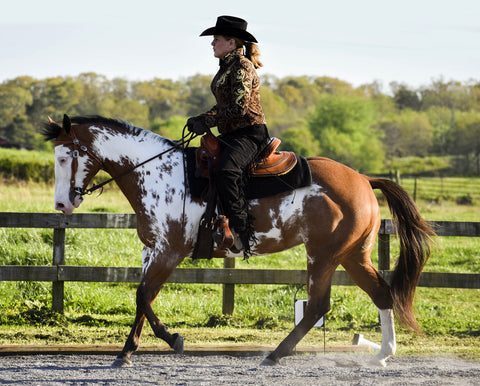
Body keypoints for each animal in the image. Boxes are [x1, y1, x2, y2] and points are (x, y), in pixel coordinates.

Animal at [43, 114, 436, 368]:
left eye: (65, 157)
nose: (61, 204)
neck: (156, 174)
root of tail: (363, 179)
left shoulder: (169, 251)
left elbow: (143, 296)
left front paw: (172, 340)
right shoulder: (151, 250)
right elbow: (143, 297)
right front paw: (127, 351)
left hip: (323, 256)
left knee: (316, 306)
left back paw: (275, 355)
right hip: (353, 255)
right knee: (380, 294)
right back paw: (382, 355)